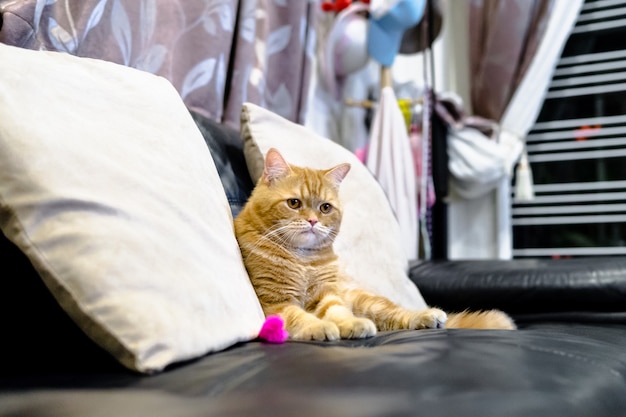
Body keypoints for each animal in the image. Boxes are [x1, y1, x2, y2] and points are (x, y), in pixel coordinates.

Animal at [234, 148, 512, 340]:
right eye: (294, 203)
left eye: (325, 208)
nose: (313, 221)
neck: (304, 260)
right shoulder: (274, 302)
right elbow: (299, 316)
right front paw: (320, 326)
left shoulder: (328, 295)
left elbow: (338, 312)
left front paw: (350, 324)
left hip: (366, 301)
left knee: (395, 315)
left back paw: (425, 315)